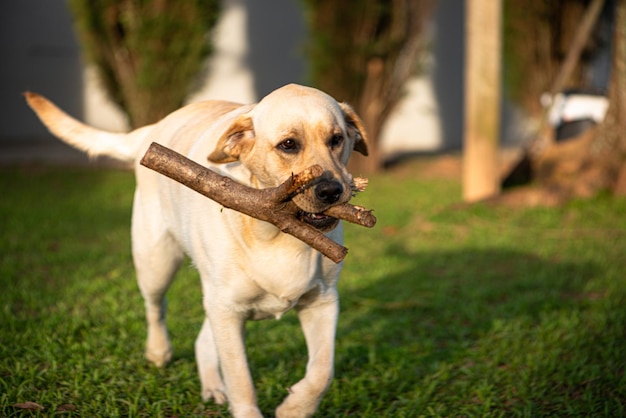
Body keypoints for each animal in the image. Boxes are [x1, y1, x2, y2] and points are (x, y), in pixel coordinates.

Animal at [25, 85, 366, 418]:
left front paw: (295, 408)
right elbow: (241, 381)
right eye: (288, 145)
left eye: (336, 140)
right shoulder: (226, 309)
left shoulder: (322, 302)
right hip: (157, 262)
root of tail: (155, 127)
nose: (331, 190)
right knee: (156, 307)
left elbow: (323, 371)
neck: (277, 230)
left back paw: (213, 387)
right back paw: (158, 352)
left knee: (202, 339)